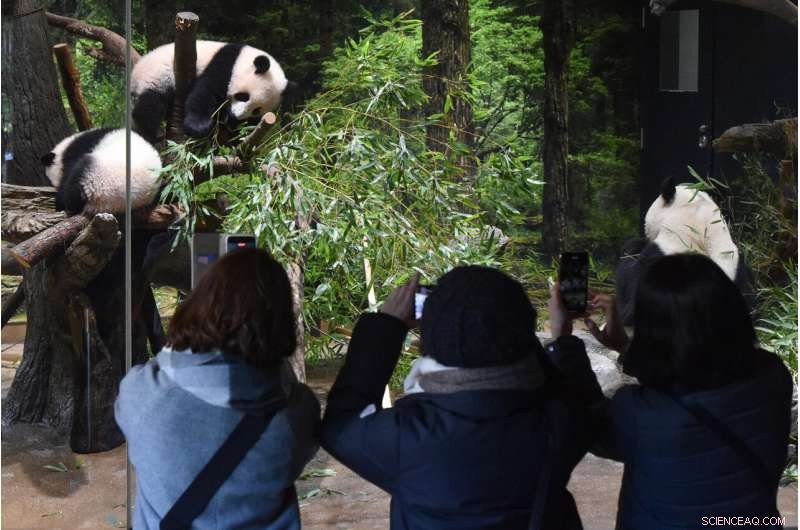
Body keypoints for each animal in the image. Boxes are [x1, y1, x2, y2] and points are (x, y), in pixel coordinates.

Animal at [131, 41, 290, 143]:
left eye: (256, 110)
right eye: (243, 96)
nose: (236, 115)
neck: (243, 58)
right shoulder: (225, 63)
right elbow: (206, 92)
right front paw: (199, 126)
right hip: (158, 76)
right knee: (151, 102)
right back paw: (151, 130)